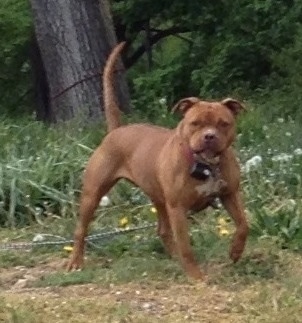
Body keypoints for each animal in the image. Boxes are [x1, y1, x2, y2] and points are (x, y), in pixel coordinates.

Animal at [67, 42, 249, 280]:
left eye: (224, 123)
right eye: (195, 123)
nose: (209, 136)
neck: (205, 164)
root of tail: (116, 131)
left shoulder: (230, 194)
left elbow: (244, 225)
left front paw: (235, 252)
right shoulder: (178, 209)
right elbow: (186, 246)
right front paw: (195, 276)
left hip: (159, 198)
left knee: (163, 230)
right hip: (92, 194)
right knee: (81, 229)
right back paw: (76, 262)